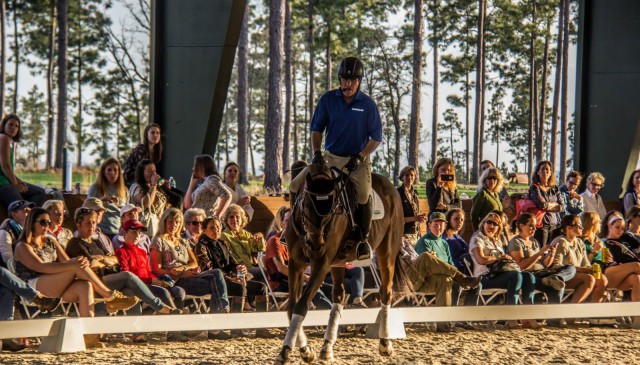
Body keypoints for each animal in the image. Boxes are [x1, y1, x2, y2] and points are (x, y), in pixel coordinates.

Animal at [276, 161, 410, 362]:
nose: (315, 245)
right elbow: (292, 306)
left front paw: (290, 351)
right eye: (305, 205)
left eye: (332, 209)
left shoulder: (321, 263)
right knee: (339, 294)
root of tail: (391, 187)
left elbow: (301, 304)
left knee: (385, 292)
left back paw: (385, 343)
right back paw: (327, 346)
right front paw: (304, 349)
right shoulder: (296, 263)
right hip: (338, 263)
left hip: (387, 252)